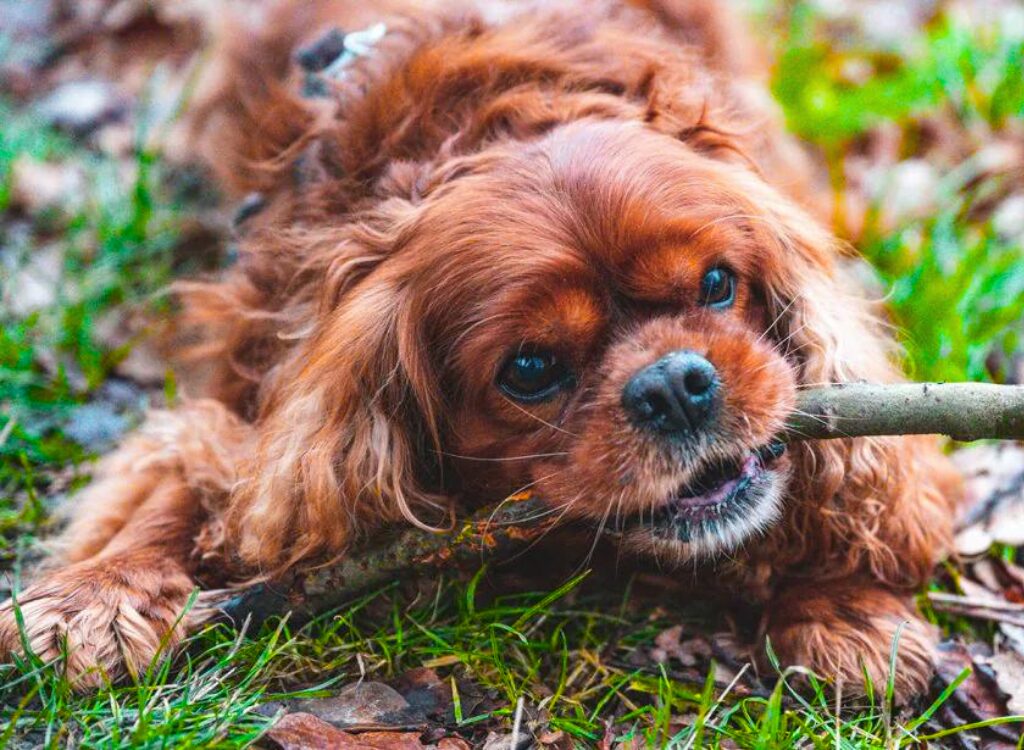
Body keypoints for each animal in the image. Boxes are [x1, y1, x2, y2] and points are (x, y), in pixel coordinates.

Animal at [0, 0, 958, 696]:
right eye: (530, 370)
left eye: (720, 284)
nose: (676, 382)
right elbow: (180, 465)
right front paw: (95, 596)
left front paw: (849, 609)